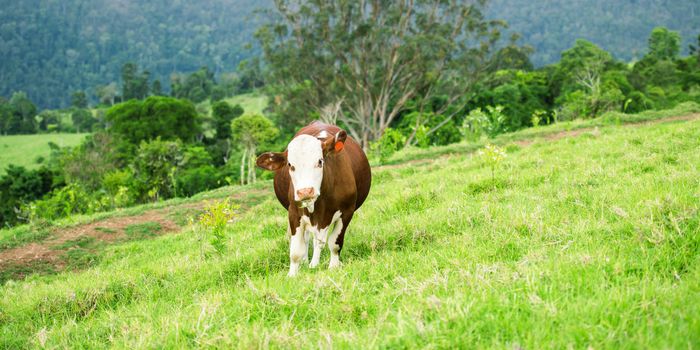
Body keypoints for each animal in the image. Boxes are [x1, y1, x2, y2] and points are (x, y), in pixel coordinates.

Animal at [258, 121, 372, 278]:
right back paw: (307, 262)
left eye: (320, 161)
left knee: (318, 241)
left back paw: (314, 264)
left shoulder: (347, 211)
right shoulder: (294, 213)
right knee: (308, 239)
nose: (305, 191)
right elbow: (296, 250)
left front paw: (334, 266)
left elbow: (334, 243)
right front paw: (292, 275)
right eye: (290, 165)